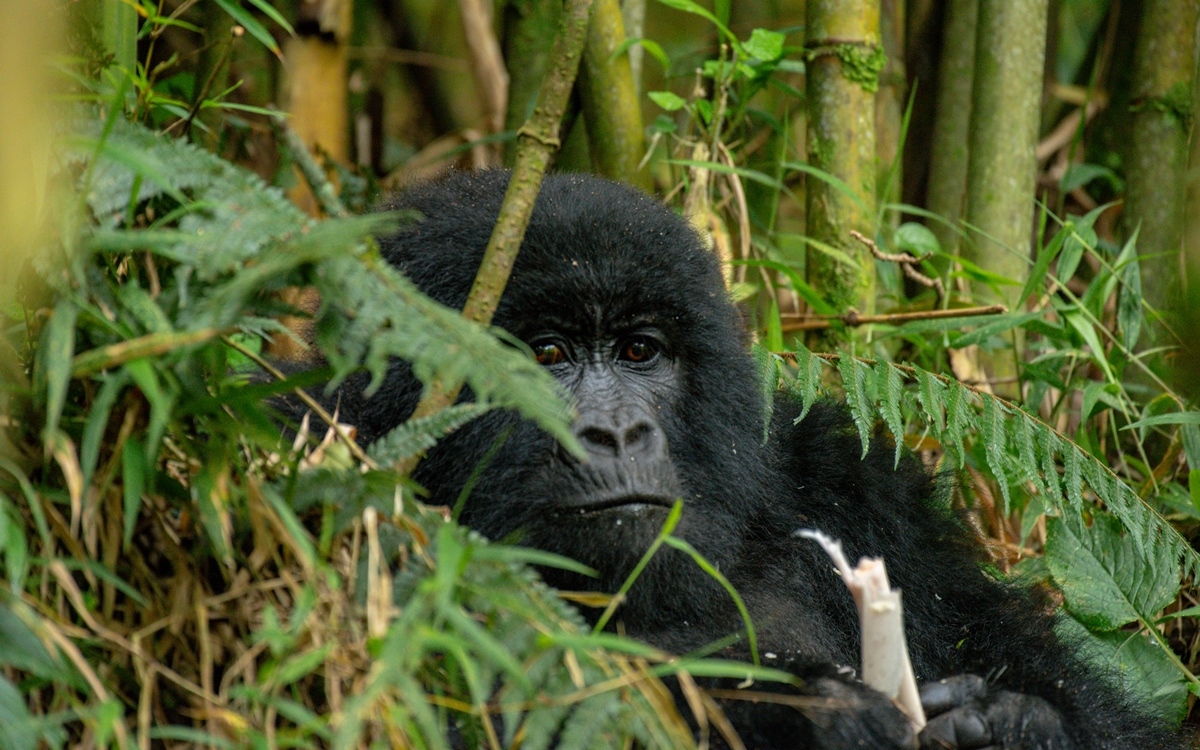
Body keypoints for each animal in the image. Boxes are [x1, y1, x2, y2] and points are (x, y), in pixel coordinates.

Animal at [331, 171, 1180, 748]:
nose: (618, 435)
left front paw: (1014, 721)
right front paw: (817, 716)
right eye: (545, 355)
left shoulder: (855, 488)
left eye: (640, 351)